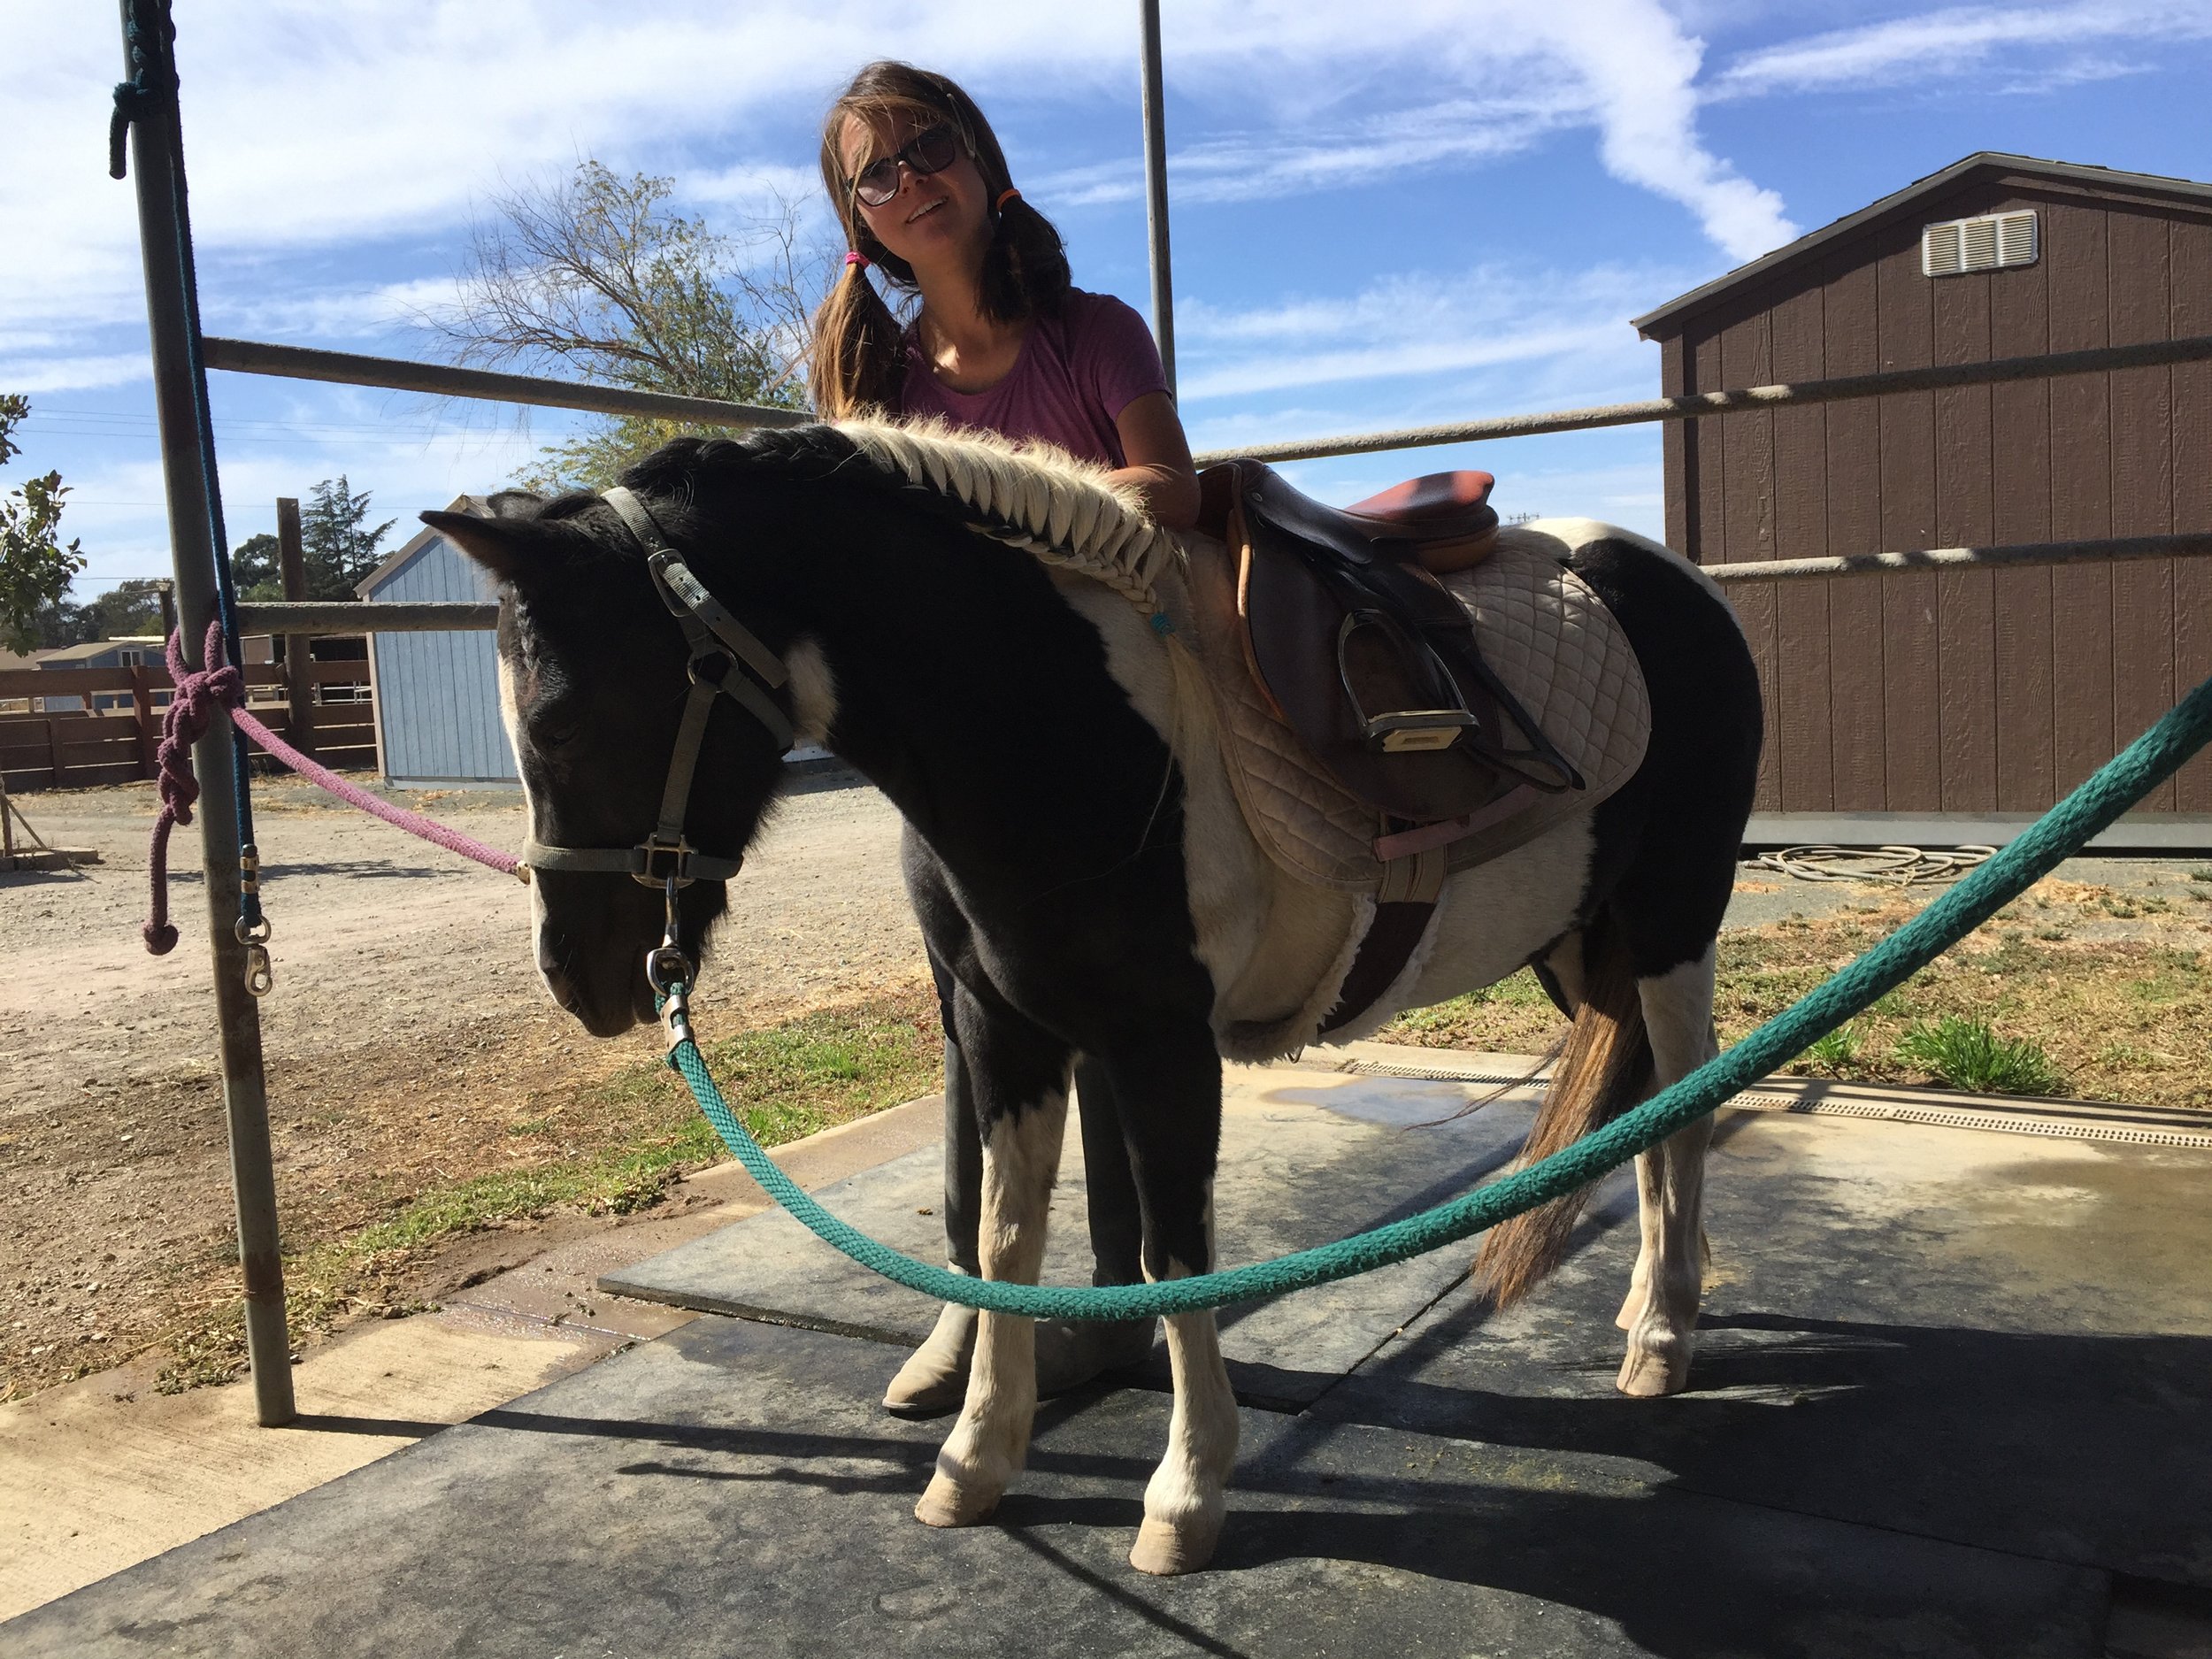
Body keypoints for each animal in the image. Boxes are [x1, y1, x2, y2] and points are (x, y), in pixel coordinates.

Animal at [424, 418, 1763, 1577]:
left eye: (566, 719)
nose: (575, 975)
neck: (1056, 714)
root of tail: (1676, 585)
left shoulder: (1161, 1042)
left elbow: (1175, 1253)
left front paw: (1184, 1493)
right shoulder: (1004, 1026)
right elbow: (1003, 1235)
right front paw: (973, 1460)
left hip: (1671, 927)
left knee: (1690, 1108)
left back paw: (1663, 1339)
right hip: (1580, 947)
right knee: (1655, 1106)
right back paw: (1654, 1301)